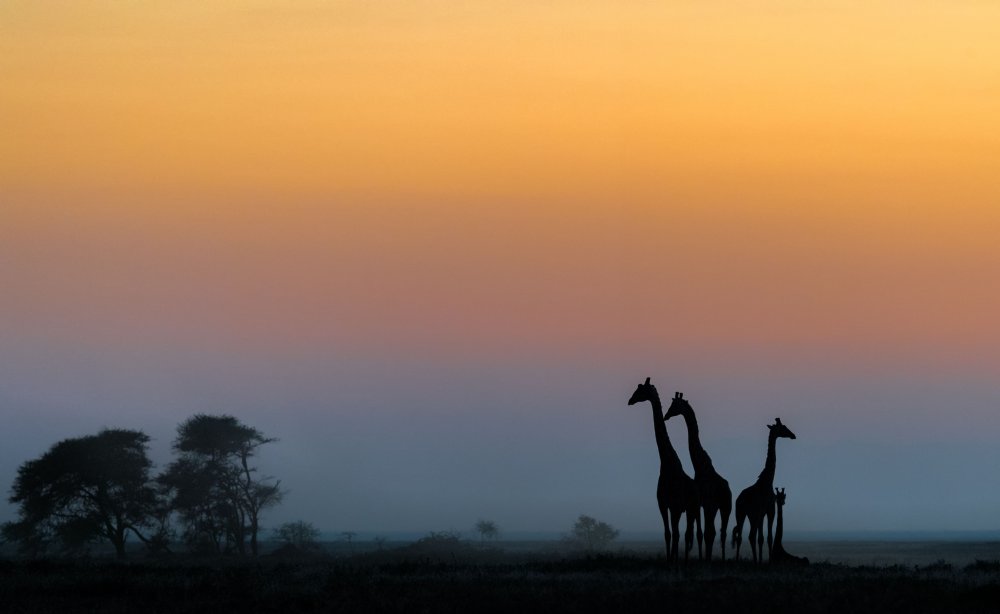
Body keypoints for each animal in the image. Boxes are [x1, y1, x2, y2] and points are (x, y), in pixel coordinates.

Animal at [624, 378, 704, 564]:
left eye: (641, 390)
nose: (630, 400)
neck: (668, 464)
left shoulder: (675, 506)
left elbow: (676, 535)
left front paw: (675, 563)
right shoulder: (663, 505)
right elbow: (668, 534)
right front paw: (669, 561)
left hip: (694, 508)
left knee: (694, 533)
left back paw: (693, 561)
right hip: (686, 510)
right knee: (686, 533)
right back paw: (683, 560)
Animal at [664, 394, 736, 564]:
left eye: (675, 405)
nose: (666, 416)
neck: (700, 467)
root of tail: (728, 490)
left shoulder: (706, 504)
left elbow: (703, 532)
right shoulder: (699, 504)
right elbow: (699, 532)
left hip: (722, 507)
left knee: (715, 532)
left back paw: (714, 559)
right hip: (723, 508)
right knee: (720, 532)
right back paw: (719, 559)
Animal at [732, 422, 792, 564]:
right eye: (783, 428)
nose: (793, 435)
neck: (767, 482)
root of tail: (740, 500)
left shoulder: (764, 513)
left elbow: (763, 538)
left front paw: (762, 559)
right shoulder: (768, 511)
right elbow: (768, 537)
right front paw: (768, 561)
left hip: (740, 513)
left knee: (741, 536)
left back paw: (738, 560)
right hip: (751, 514)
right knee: (750, 535)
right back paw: (754, 561)